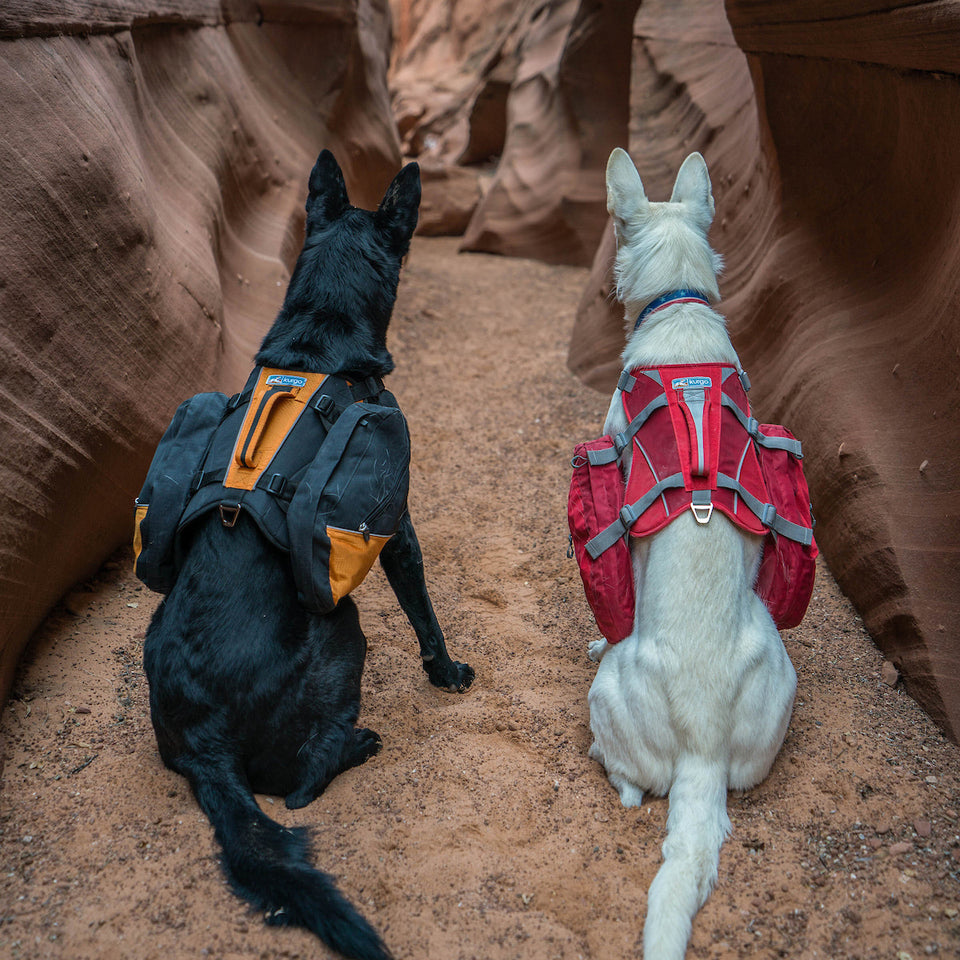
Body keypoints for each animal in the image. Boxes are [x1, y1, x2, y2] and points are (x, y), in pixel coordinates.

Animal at [142, 148, 472, 960]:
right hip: (343, 630)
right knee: (300, 786)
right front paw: (447, 673)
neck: (317, 340)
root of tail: (206, 745)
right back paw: (358, 743)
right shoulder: (398, 525)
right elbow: (424, 612)